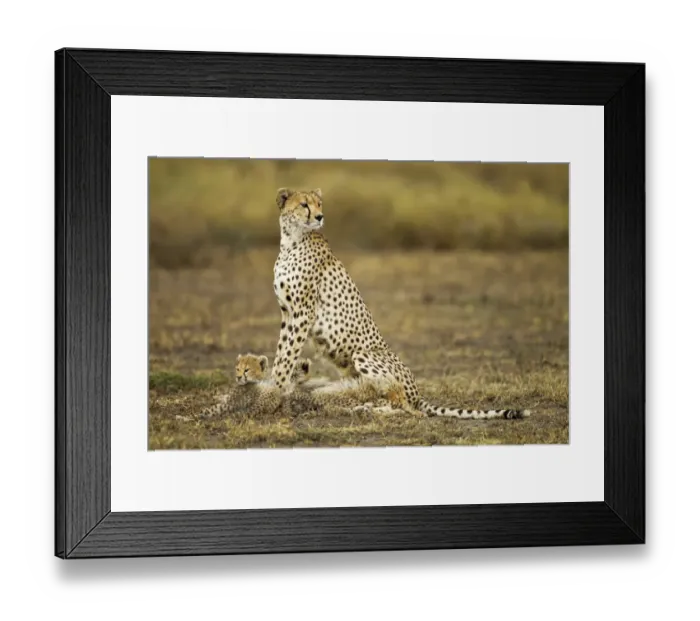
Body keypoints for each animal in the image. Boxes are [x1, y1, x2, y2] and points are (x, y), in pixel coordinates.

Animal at [270, 187, 531, 421]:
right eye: (304, 205)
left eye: (319, 204)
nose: (319, 217)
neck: (291, 241)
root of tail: (417, 392)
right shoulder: (288, 313)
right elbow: (281, 353)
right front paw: (272, 386)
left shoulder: (303, 313)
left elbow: (287, 356)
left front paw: (273, 391)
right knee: (380, 397)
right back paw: (360, 408)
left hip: (364, 356)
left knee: (406, 406)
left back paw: (368, 411)